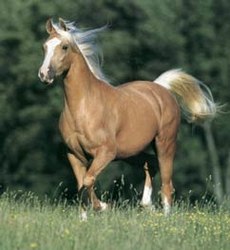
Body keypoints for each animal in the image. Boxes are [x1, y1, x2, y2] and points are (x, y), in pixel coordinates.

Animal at [38, 18, 217, 220]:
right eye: (45, 46)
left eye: (64, 46)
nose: (44, 74)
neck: (84, 107)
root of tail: (161, 89)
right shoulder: (74, 154)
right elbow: (81, 185)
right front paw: (84, 219)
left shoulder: (106, 152)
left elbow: (88, 180)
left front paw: (103, 207)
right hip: (131, 153)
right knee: (150, 164)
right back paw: (146, 204)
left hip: (165, 144)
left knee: (167, 185)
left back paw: (165, 217)